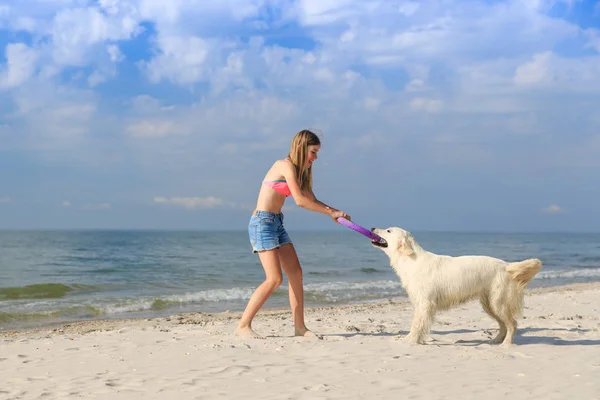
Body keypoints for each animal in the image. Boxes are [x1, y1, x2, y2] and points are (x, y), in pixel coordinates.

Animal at [372, 227, 540, 346]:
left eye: (388, 230)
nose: (373, 228)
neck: (411, 260)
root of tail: (506, 265)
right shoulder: (422, 304)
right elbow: (419, 324)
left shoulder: (425, 303)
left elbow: (417, 325)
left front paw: (410, 341)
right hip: (489, 304)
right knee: (504, 325)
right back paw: (495, 341)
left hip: (499, 302)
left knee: (512, 324)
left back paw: (506, 344)